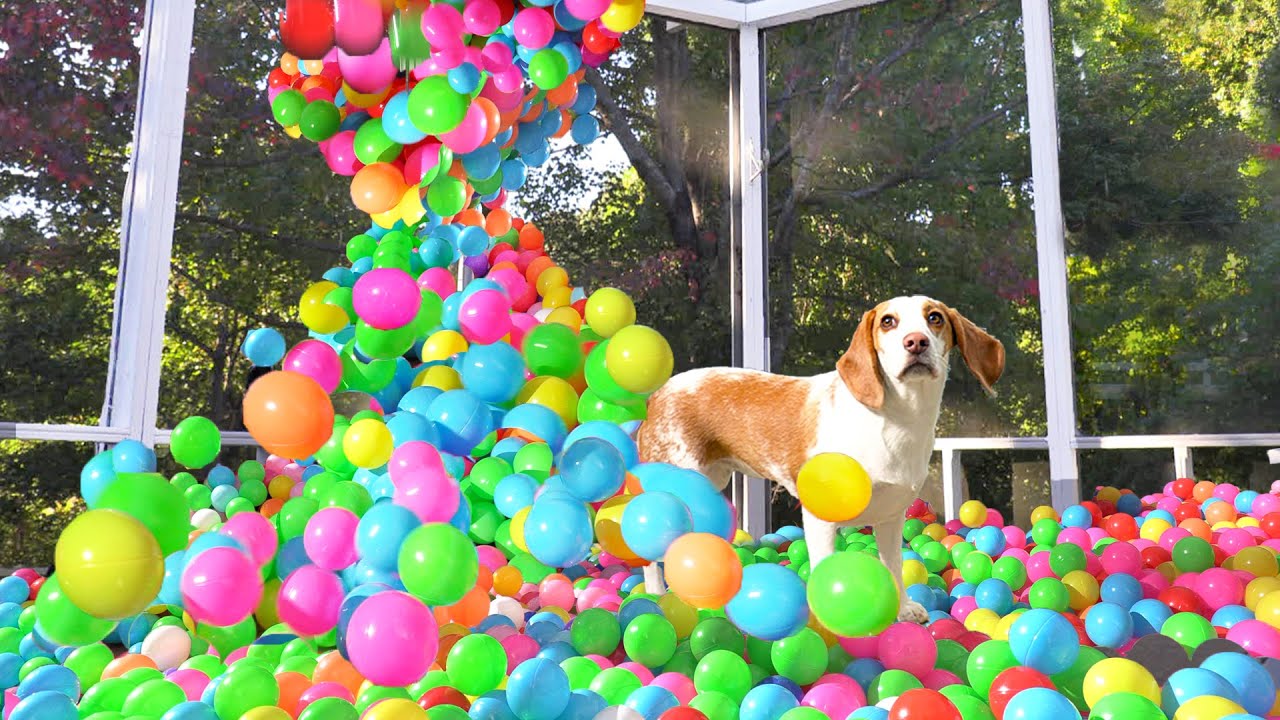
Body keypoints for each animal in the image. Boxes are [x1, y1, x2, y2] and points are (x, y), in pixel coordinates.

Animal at [634, 294, 1003, 620]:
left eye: (935, 317)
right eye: (888, 321)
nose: (916, 342)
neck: (896, 419)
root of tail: (658, 395)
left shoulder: (891, 518)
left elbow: (894, 566)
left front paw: (902, 609)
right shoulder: (820, 519)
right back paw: (657, 596)